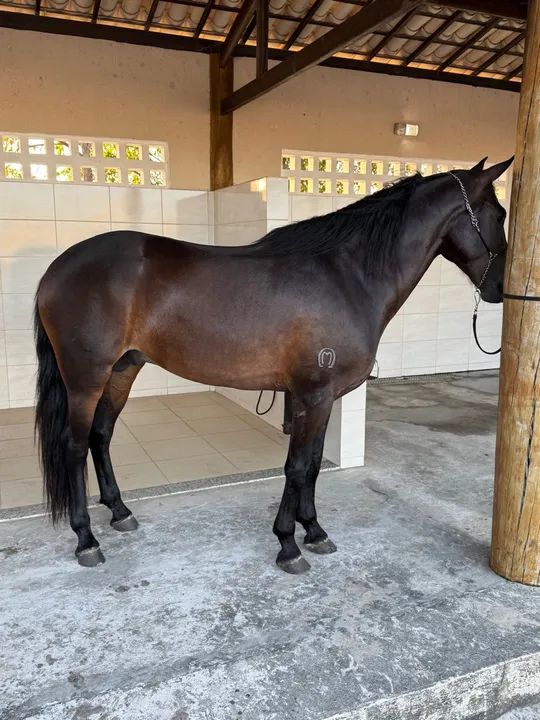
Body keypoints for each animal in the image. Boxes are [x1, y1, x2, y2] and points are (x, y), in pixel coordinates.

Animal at [34, 156, 512, 572]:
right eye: (500, 214)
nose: (500, 289)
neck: (347, 277)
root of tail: (57, 269)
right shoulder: (314, 395)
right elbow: (297, 467)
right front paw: (288, 544)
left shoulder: (320, 398)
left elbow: (313, 465)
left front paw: (314, 531)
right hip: (85, 379)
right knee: (74, 446)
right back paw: (86, 539)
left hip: (122, 370)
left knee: (101, 436)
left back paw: (120, 512)